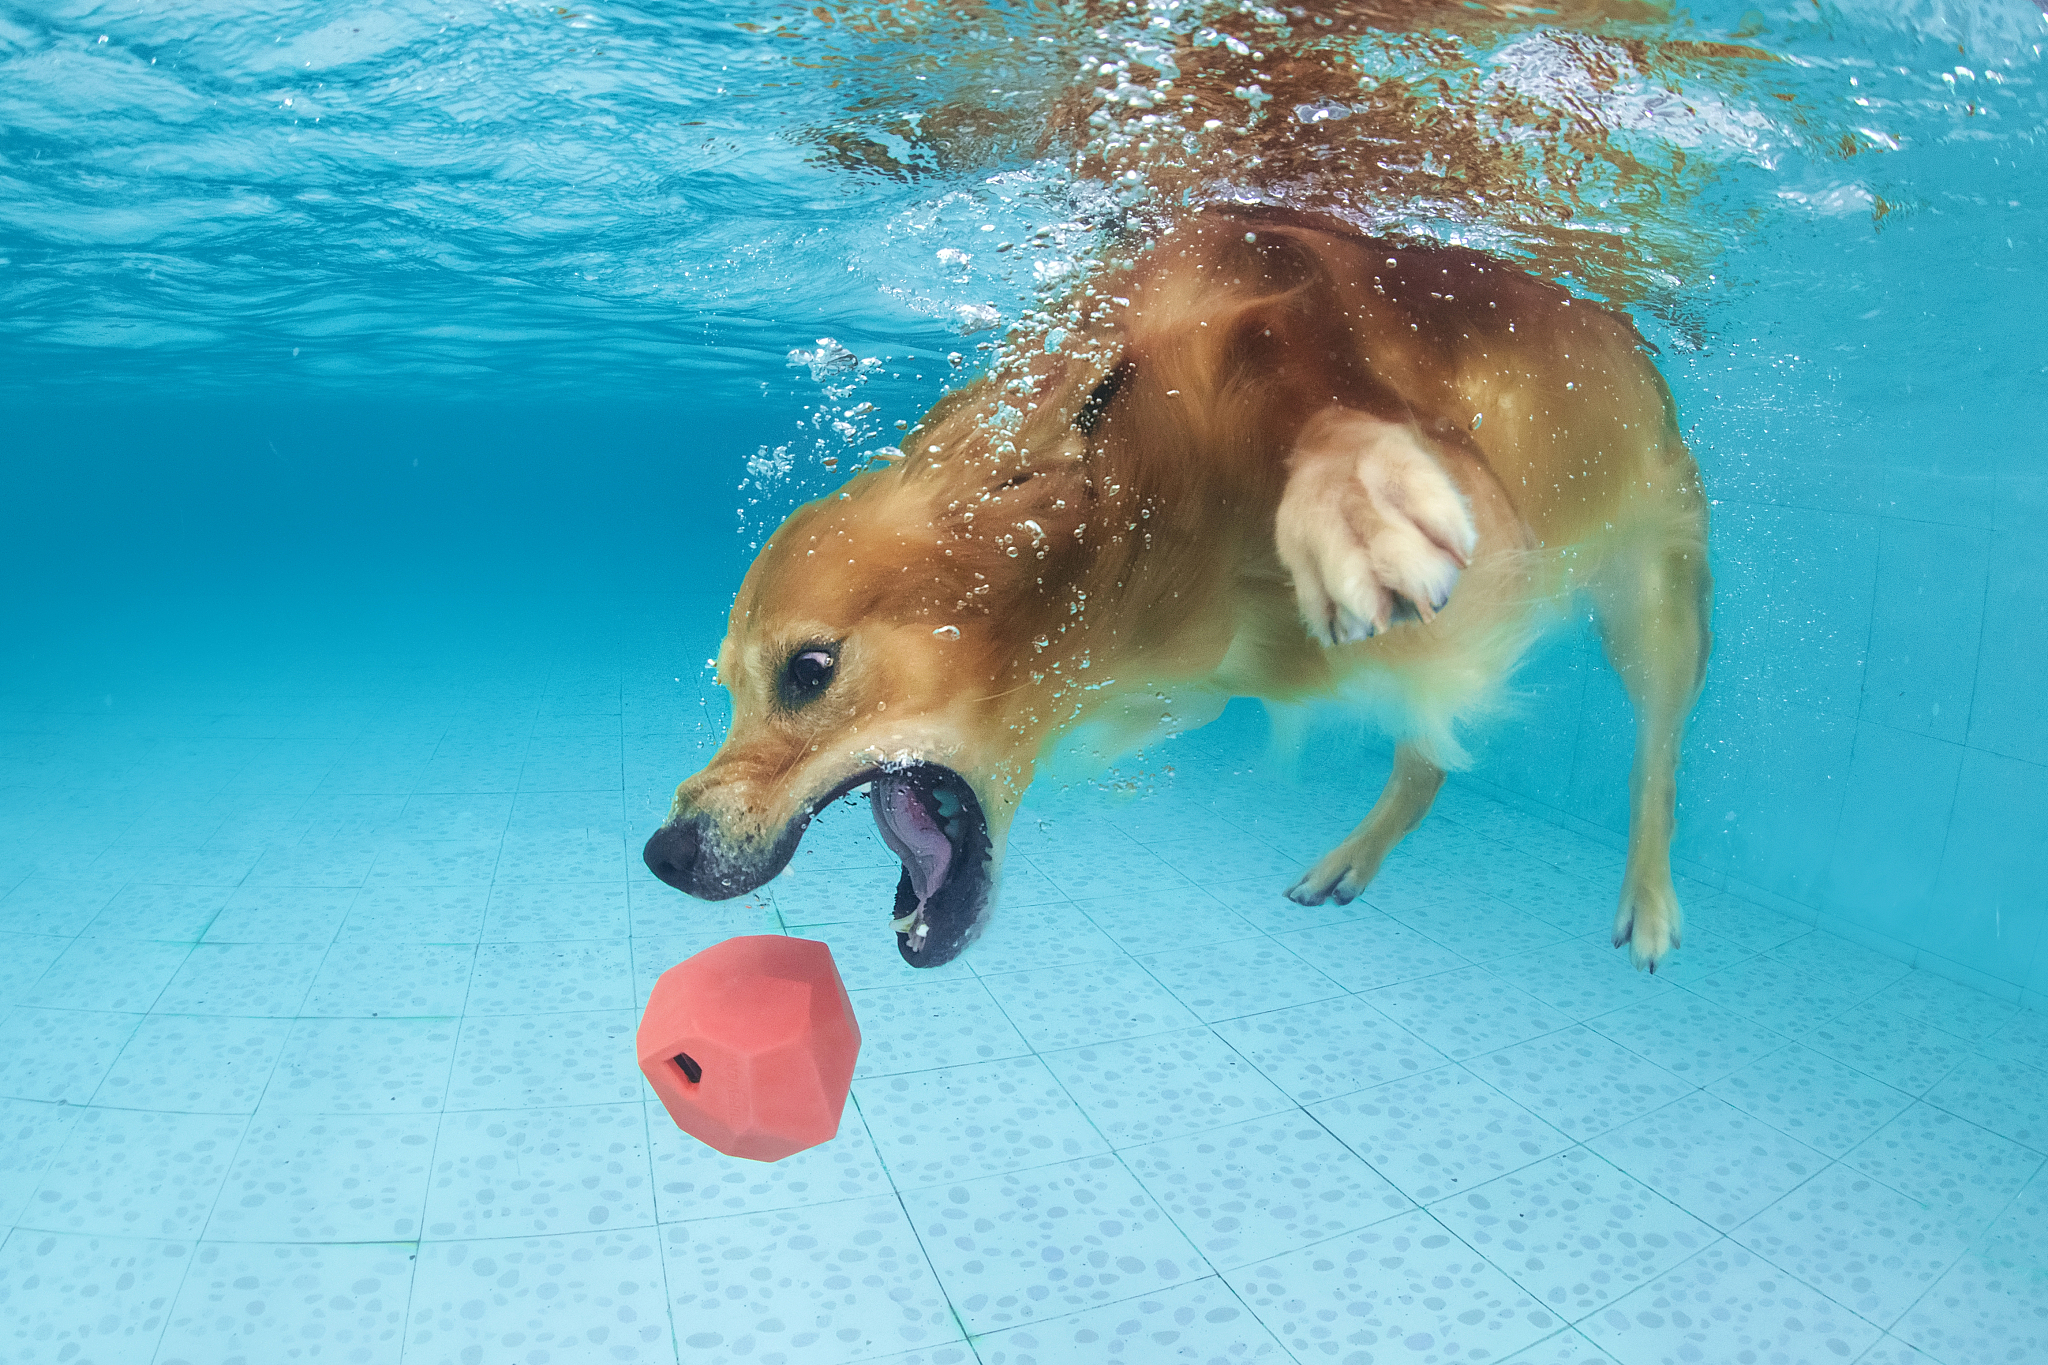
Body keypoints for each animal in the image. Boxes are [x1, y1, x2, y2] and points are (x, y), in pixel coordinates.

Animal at [643, 202, 1712, 970]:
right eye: (730, 687)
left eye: (809, 670)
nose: (664, 854)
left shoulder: (1274, 305)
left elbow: (1324, 394)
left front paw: (1356, 496)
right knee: (1428, 756)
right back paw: (1352, 859)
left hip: (1657, 595)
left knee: (1656, 753)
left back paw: (1654, 898)